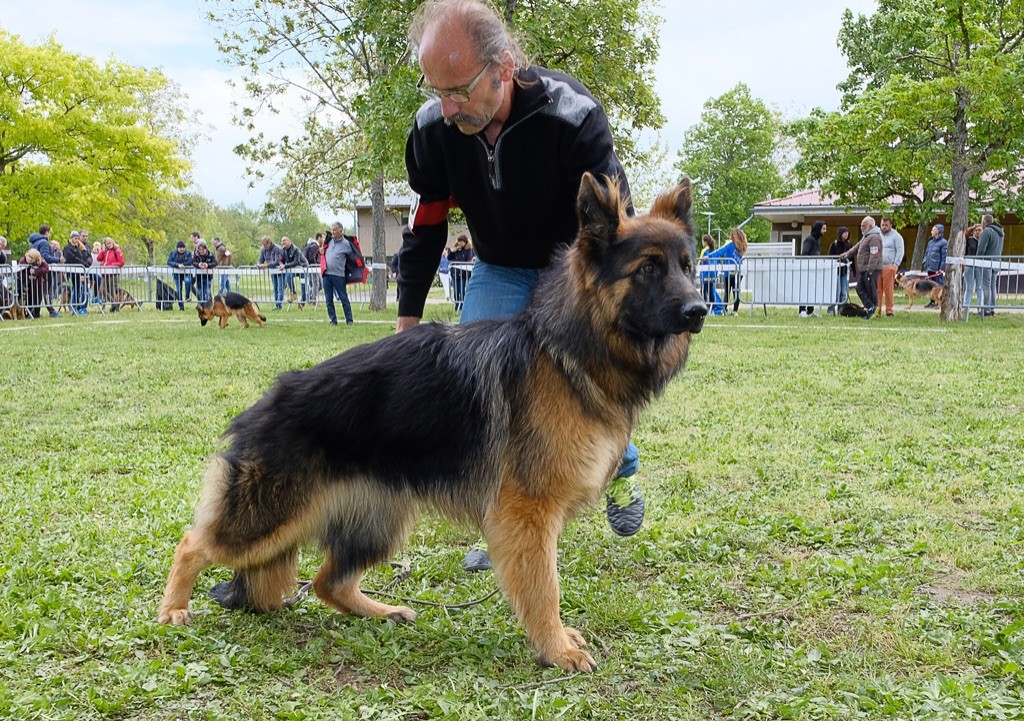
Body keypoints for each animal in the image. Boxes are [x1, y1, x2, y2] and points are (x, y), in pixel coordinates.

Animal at [159, 174, 708, 671]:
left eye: (687, 266)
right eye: (648, 268)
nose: (699, 310)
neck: (566, 352)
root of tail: (266, 403)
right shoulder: (529, 513)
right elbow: (544, 588)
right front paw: (556, 649)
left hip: (376, 521)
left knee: (325, 582)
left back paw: (381, 611)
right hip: (270, 519)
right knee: (193, 544)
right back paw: (173, 610)